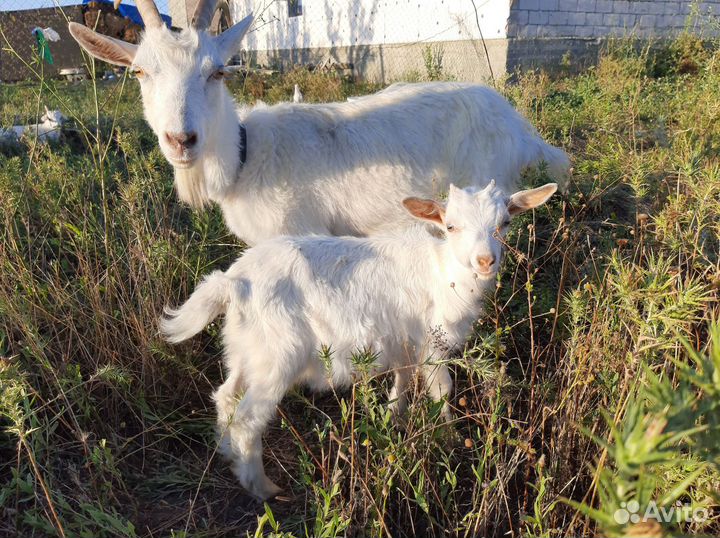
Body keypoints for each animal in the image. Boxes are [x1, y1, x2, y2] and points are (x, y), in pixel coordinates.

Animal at [160, 181, 558, 499]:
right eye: (450, 226)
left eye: (504, 223)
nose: (485, 261)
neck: (443, 270)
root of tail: (233, 282)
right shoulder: (433, 342)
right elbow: (442, 389)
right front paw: (450, 438)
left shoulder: (403, 338)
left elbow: (403, 376)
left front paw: (394, 414)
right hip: (278, 355)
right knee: (247, 419)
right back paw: (264, 489)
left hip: (245, 348)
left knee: (226, 396)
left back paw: (228, 453)